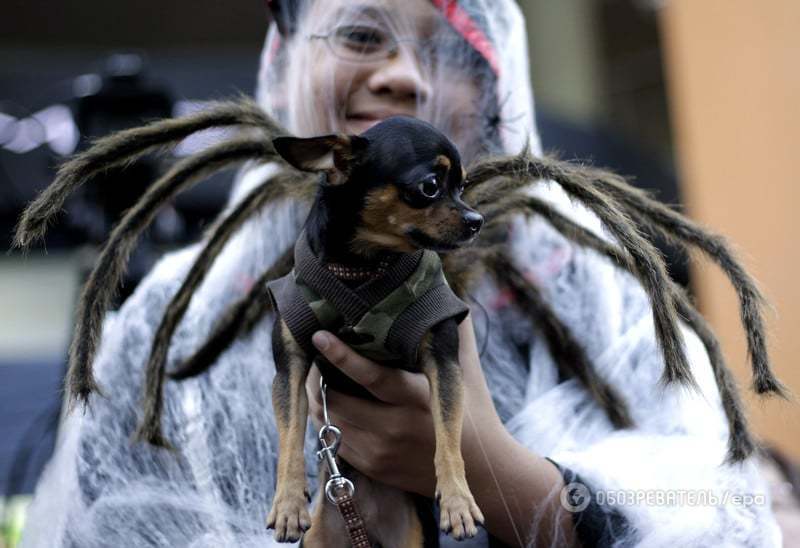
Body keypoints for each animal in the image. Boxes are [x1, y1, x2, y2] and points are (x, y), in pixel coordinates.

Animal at [266, 115, 484, 544]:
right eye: (429, 186)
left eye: (463, 186)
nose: (476, 221)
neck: (363, 265)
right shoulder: (291, 368)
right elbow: (290, 434)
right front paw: (287, 503)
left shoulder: (444, 363)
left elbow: (447, 435)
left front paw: (457, 500)